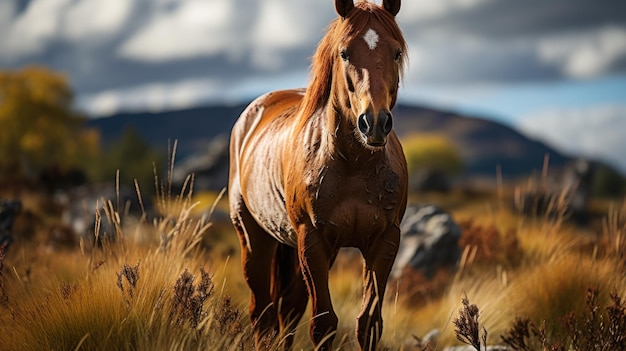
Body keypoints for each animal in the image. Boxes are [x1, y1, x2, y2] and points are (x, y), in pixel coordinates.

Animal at [227, 1, 408, 350]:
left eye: (395, 52)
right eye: (344, 53)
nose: (374, 123)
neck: (353, 164)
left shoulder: (385, 240)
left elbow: (368, 324)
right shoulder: (312, 241)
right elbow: (323, 324)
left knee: (286, 313)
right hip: (255, 239)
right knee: (263, 314)